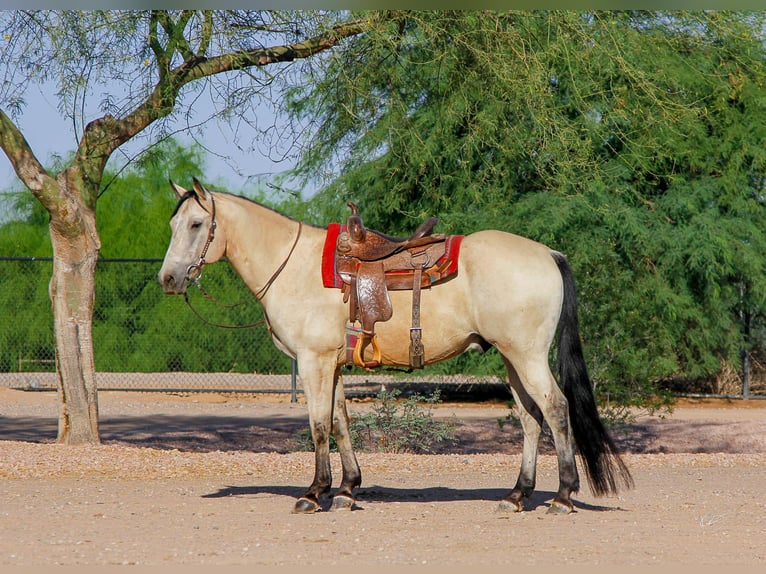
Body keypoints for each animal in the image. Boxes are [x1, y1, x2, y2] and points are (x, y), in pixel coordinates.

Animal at [158, 178, 633, 514]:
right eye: (173, 225)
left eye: (196, 225)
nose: (169, 279)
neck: (292, 266)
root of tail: (548, 253)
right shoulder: (332, 364)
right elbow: (341, 422)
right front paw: (347, 490)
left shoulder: (313, 362)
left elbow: (318, 425)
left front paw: (313, 494)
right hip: (512, 359)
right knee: (531, 418)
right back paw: (517, 495)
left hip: (527, 356)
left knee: (555, 409)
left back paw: (563, 496)